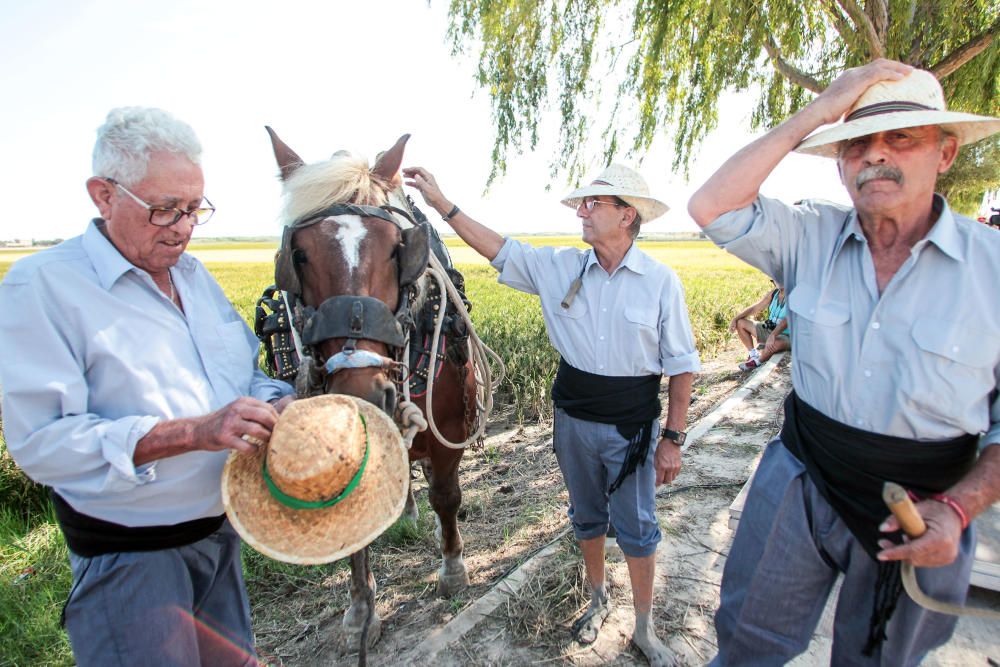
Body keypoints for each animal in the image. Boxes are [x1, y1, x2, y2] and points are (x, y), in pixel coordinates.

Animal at [264, 129, 482, 656]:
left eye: (395, 248)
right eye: (298, 255)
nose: (362, 394)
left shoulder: (449, 428)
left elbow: (447, 495)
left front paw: (453, 569)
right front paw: (361, 609)